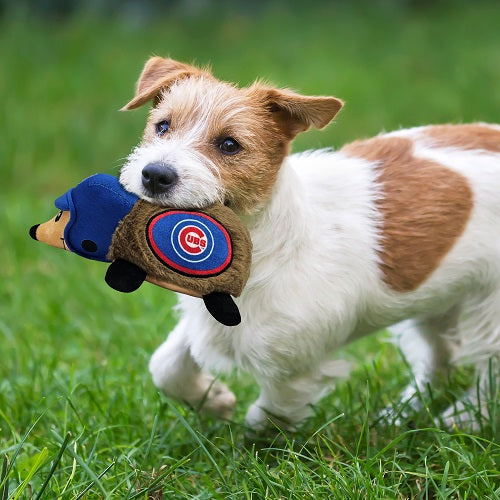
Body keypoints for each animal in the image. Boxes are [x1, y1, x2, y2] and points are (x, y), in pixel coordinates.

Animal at [119, 56, 498, 432]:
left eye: (229, 145)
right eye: (162, 126)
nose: (154, 174)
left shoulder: (295, 368)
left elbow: (267, 417)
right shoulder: (206, 320)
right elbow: (165, 365)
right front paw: (213, 400)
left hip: (489, 309)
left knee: (488, 371)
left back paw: (465, 418)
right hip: (436, 301)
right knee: (440, 358)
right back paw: (402, 415)